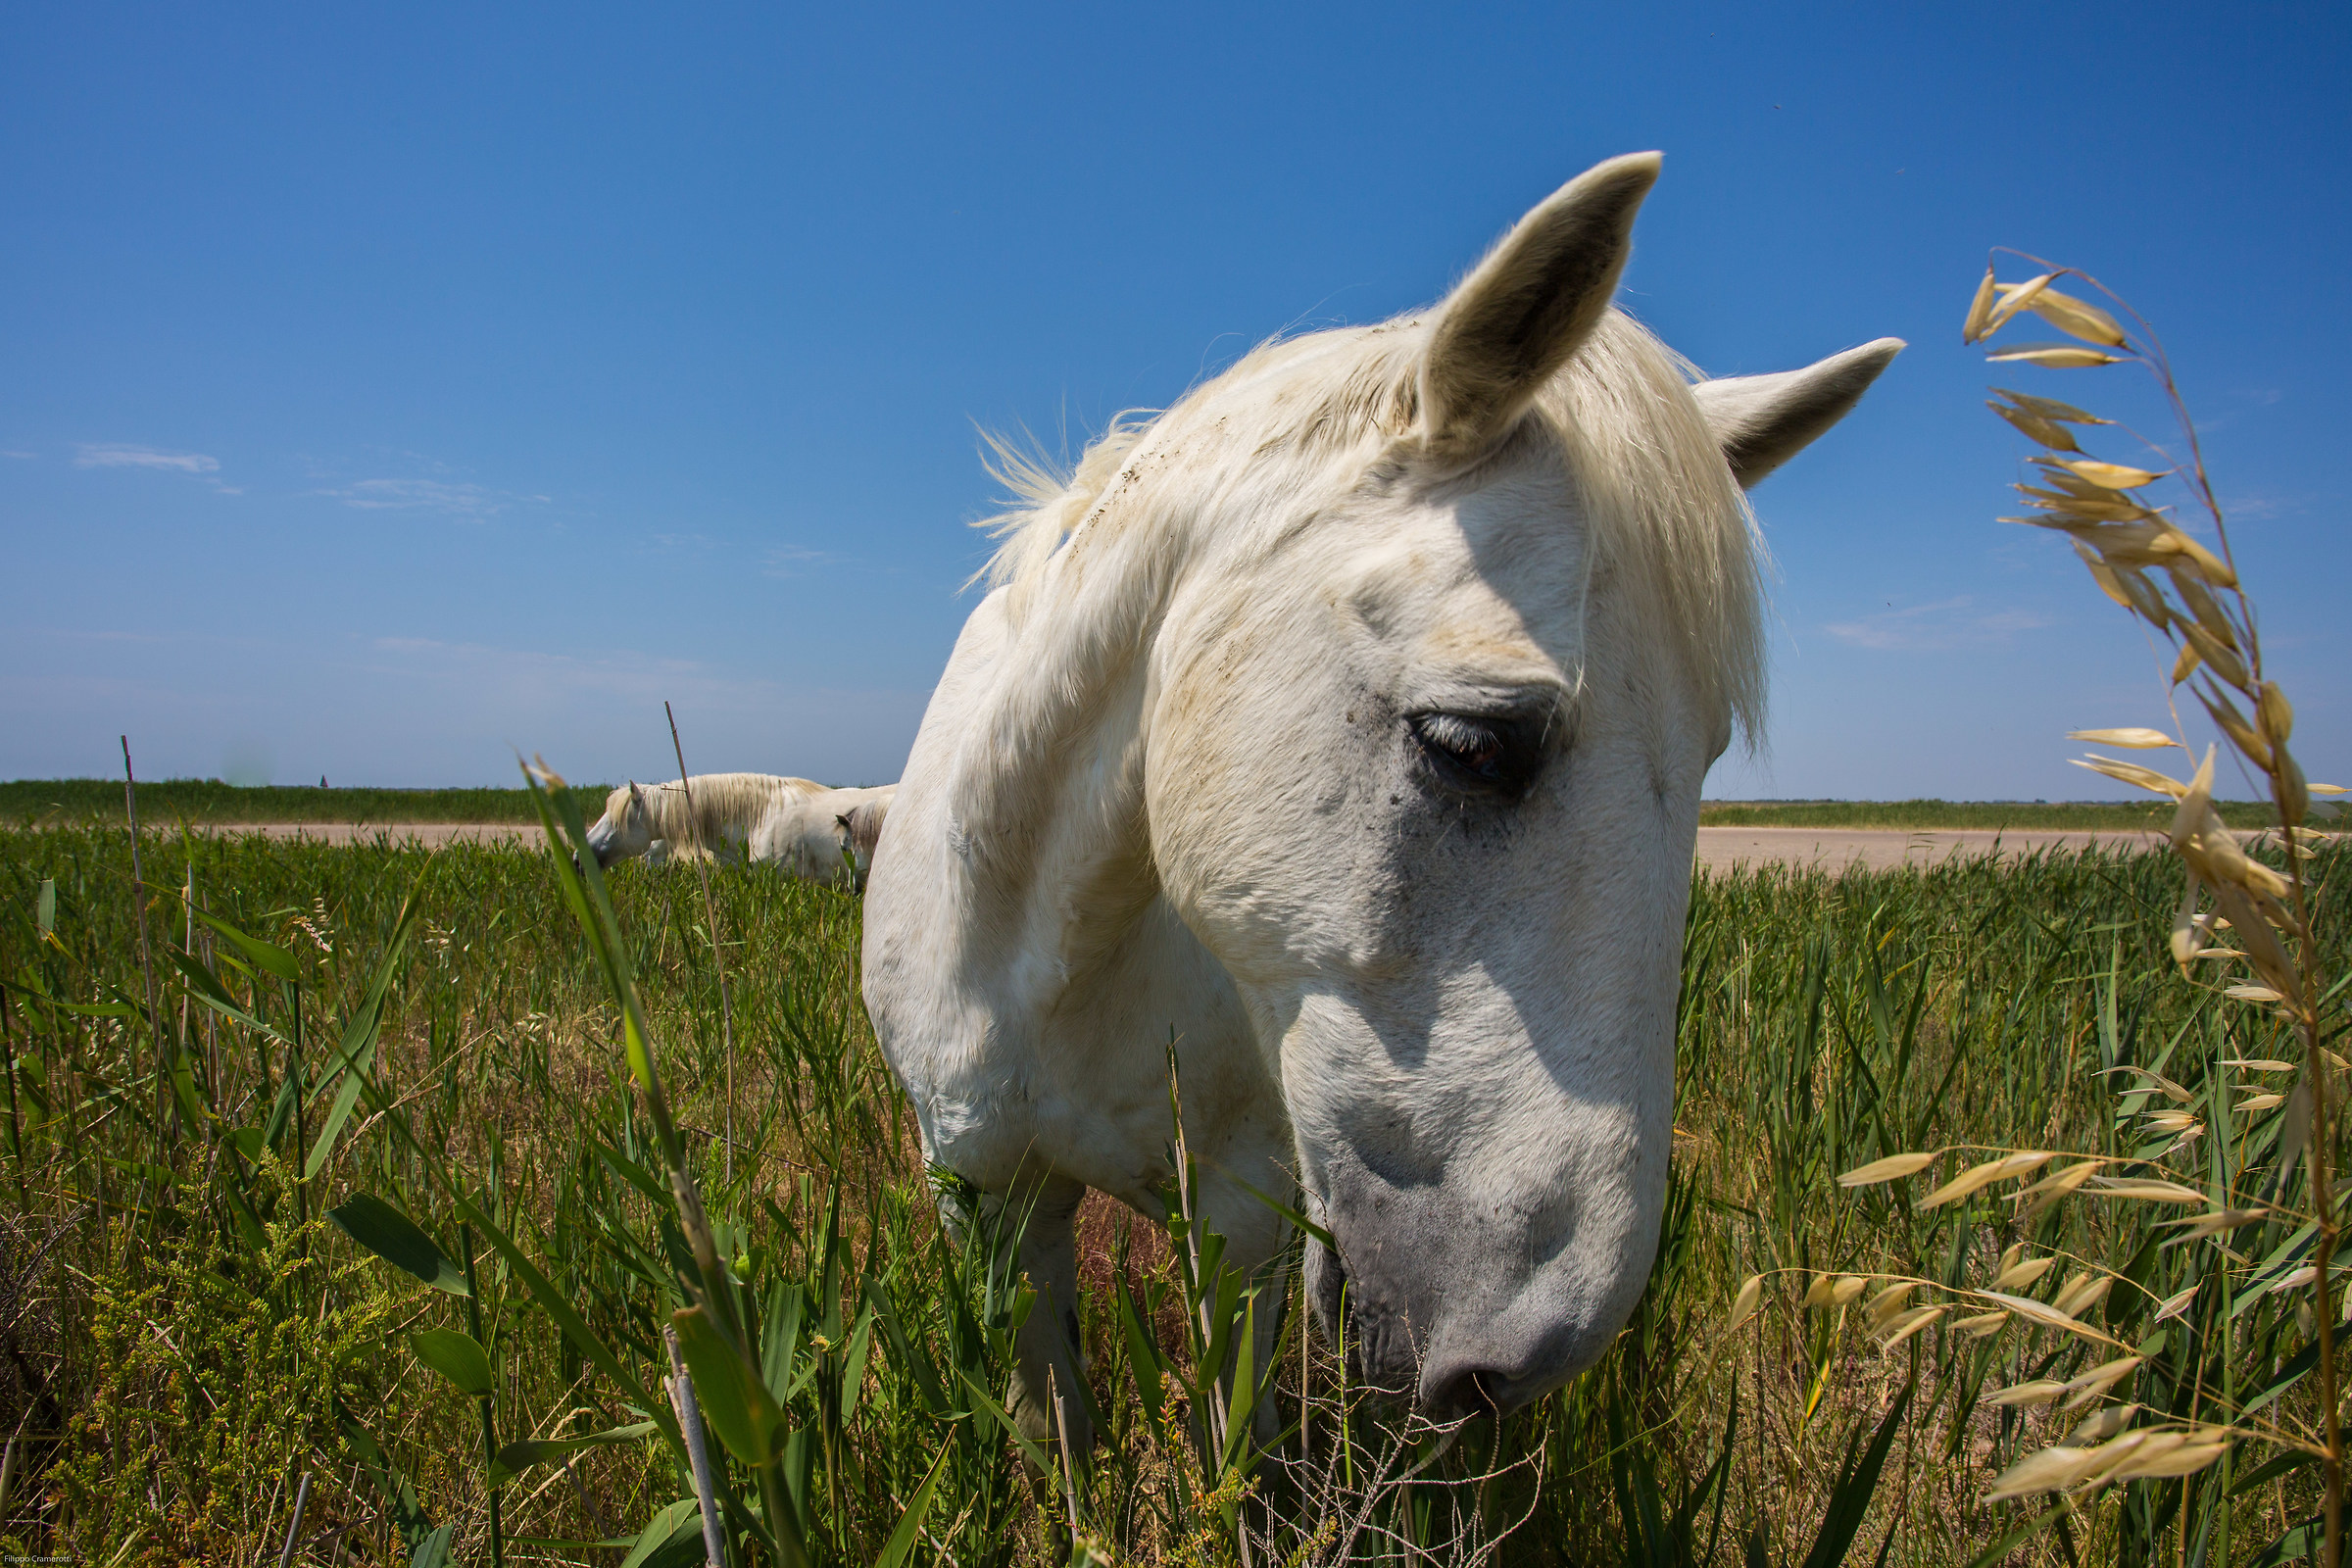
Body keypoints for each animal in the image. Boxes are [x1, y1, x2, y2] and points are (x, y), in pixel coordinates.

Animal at [861, 151, 1900, 1449]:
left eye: (1708, 756)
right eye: (1473, 745)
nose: (1519, 1354)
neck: (1054, 952)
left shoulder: (1243, 1226)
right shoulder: (986, 1198)